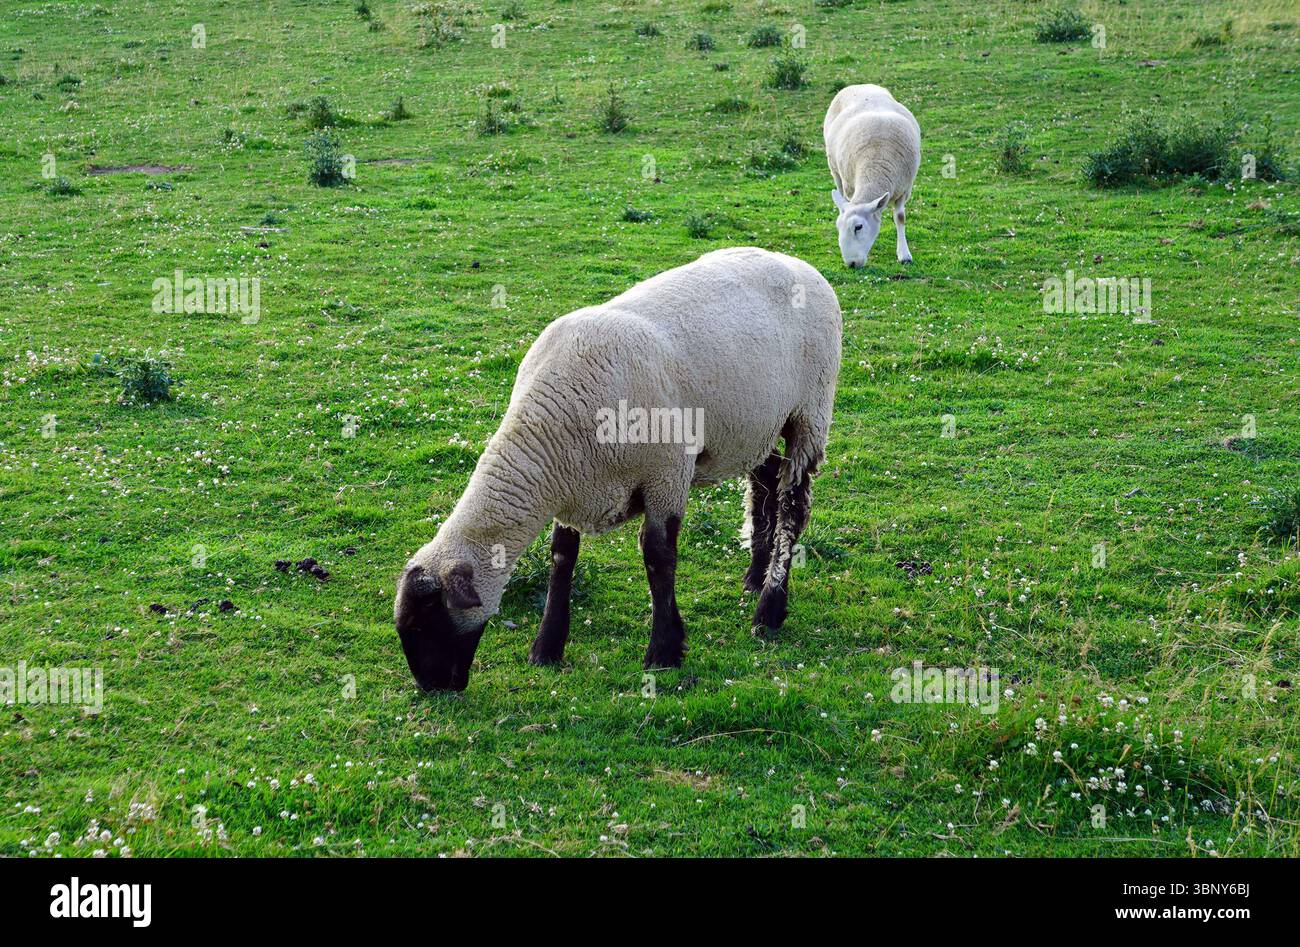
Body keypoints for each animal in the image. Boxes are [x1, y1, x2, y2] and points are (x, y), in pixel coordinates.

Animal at [394, 247, 842, 691]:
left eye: (425, 621)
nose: (434, 687)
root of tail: (798, 263)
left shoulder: (666, 474)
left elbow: (658, 557)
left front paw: (664, 651)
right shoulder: (573, 484)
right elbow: (562, 558)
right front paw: (547, 646)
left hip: (810, 412)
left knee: (793, 507)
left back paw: (770, 608)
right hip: (755, 424)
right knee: (764, 481)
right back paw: (754, 574)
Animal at [823, 84, 921, 267]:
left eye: (858, 227)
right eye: (838, 227)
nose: (852, 264)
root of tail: (859, 85)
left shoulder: (904, 189)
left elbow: (900, 218)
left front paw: (904, 254)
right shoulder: (849, 187)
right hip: (835, 171)